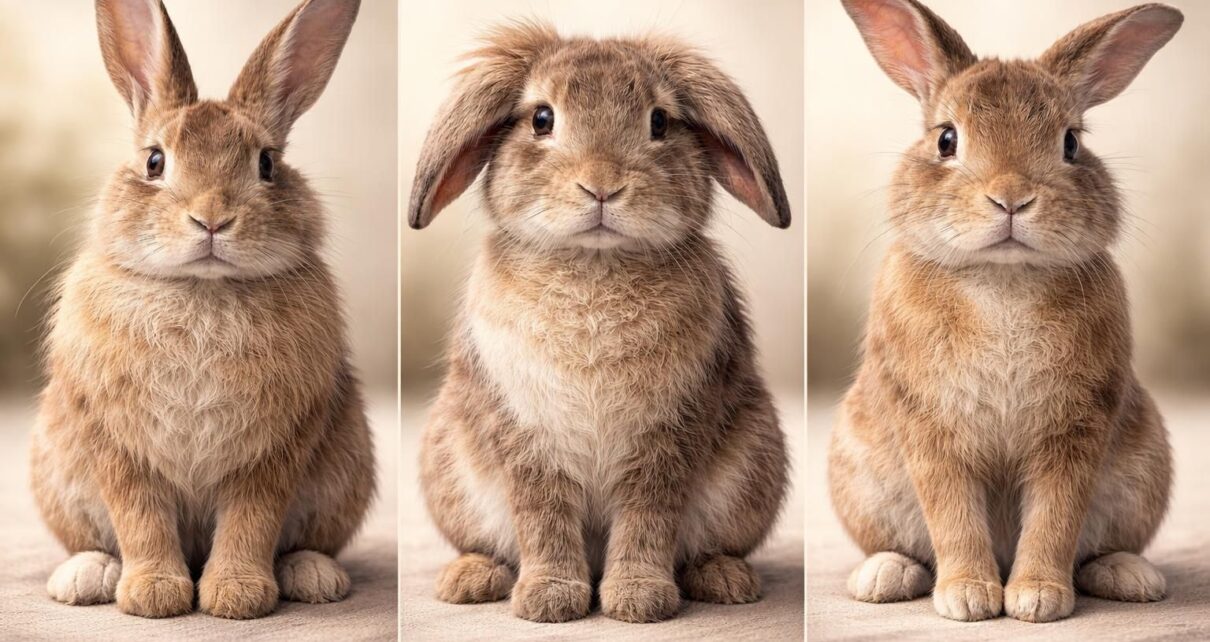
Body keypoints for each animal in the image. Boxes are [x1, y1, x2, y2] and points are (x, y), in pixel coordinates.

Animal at [28, 0, 373, 620]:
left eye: (267, 164)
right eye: (154, 161)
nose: (211, 218)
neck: (201, 288)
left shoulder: (271, 452)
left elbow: (250, 521)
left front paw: (236, 596)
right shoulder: (118, 448)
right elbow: (140, 519)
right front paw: (154, 596)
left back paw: (312, 574)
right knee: (93, 541)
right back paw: (88, 576)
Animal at [407, 22, 792, 624]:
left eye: (659, 121)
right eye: (542, 118)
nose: (602, 187)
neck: (594, 264)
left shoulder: (666, 440)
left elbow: (647, 519)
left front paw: (638, 600)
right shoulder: (527, 440)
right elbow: (543, 518)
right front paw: (549, 600)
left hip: (751, 471)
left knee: (710, 547)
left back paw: (726, 580)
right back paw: (469, 579)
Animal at [829, 0, 1182, 624]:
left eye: (1071, 143)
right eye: (947, 140)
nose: (1012, 198)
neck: (1003, 276)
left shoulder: (1075, 429)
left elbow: (1054, 519)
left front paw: (1037, 599)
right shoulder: (930, 428)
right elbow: (953, 516)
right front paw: (969, 598)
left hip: (1142, 474)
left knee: (1100, 548)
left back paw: (1130, 576)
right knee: (897, 545)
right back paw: (885, 575)